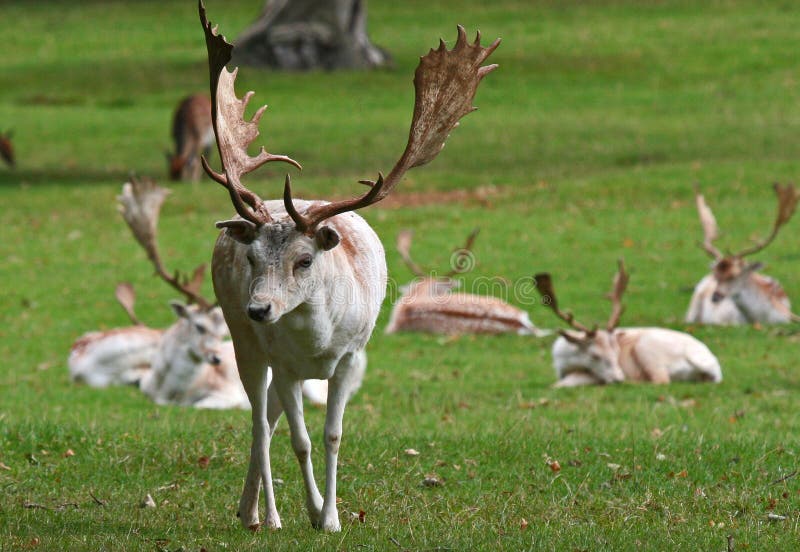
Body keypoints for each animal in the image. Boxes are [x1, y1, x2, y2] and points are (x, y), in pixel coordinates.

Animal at [198, 2, 496, 532]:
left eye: (304, 259)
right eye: (252, 258)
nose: (260, 310)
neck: (316, 343)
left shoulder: (351, 356)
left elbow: (332, 436)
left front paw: (330, 517)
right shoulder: (284, 362)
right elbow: (300, 440)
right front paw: (314, 511)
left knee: (267, 417)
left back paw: (250, 509)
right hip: (242, 341)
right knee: (259, 420)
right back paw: (264, 515)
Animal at [536, 260, 720, 386]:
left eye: (617, 351)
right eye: (594, 355)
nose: (619, 379)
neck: (562, 362)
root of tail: (714, 368)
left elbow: (560, 385)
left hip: (646, 347)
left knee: (661, 380)